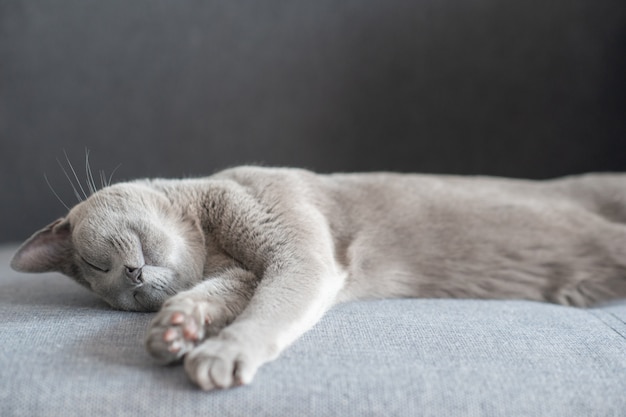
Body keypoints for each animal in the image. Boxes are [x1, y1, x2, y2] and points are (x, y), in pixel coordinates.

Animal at [8, 165, 624, 390]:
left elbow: (271, 307)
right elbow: (220, 294)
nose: (132, 281)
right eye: (118, 296)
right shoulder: (240, 275)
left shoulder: (297, 252)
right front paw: (176, 327)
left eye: (98, 264)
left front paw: (220, 353)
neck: (213, 238)